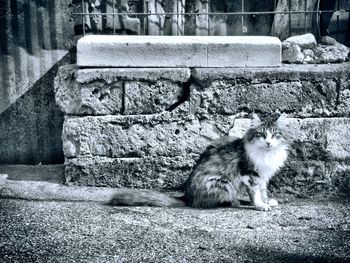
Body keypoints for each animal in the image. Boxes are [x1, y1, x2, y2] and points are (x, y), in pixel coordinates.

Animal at [109, 112, 290, 211]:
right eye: (262, 134)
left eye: (275, 135)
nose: (268, 142)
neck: (267, 153)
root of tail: (187, 197)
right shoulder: (249, 173)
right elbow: (255, 193)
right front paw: (260, 205)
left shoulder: (263, 175)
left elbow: (263, 191)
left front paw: (267, 201)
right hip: (222, 183)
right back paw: (235, 202)